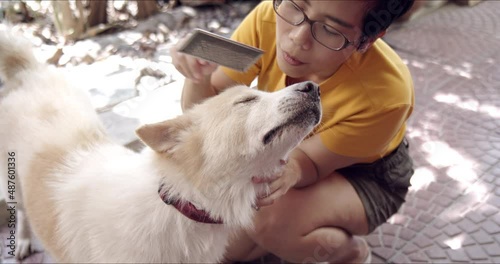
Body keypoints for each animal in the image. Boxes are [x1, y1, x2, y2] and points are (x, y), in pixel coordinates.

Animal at [0, 27, 320, 262]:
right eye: (247, 100)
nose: (314, 88)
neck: (180, 204)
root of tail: (28, 72)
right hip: (12, 183)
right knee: (21, 211)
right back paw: (24, 240)